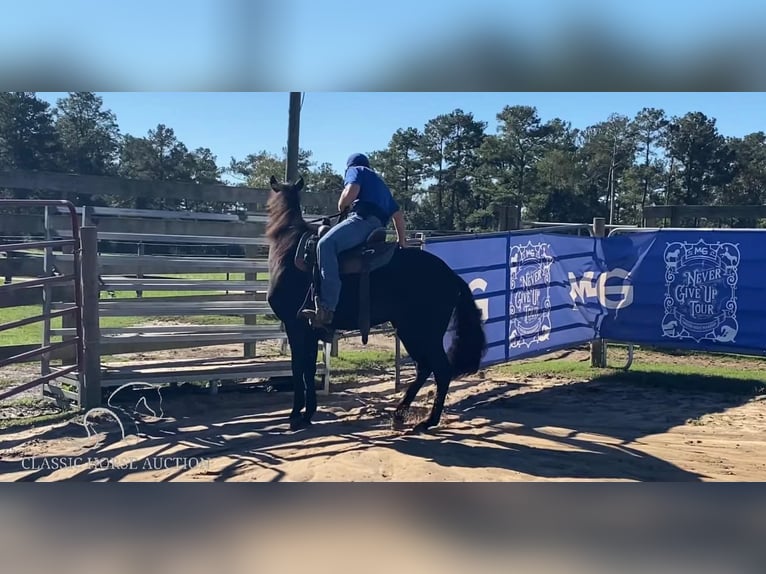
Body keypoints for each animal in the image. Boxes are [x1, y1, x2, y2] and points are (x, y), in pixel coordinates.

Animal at [268, 176, 488, 432]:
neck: (290, 248)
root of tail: (451, 275)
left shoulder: (295, 325)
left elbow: (298, 367)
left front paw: (296, 415)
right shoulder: (310, 329)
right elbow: (308, 368)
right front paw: (307, 413)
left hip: (421, 332)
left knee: (440, 369)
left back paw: (427, 421)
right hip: (411, 331)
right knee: (425, 367)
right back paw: (400, 413)